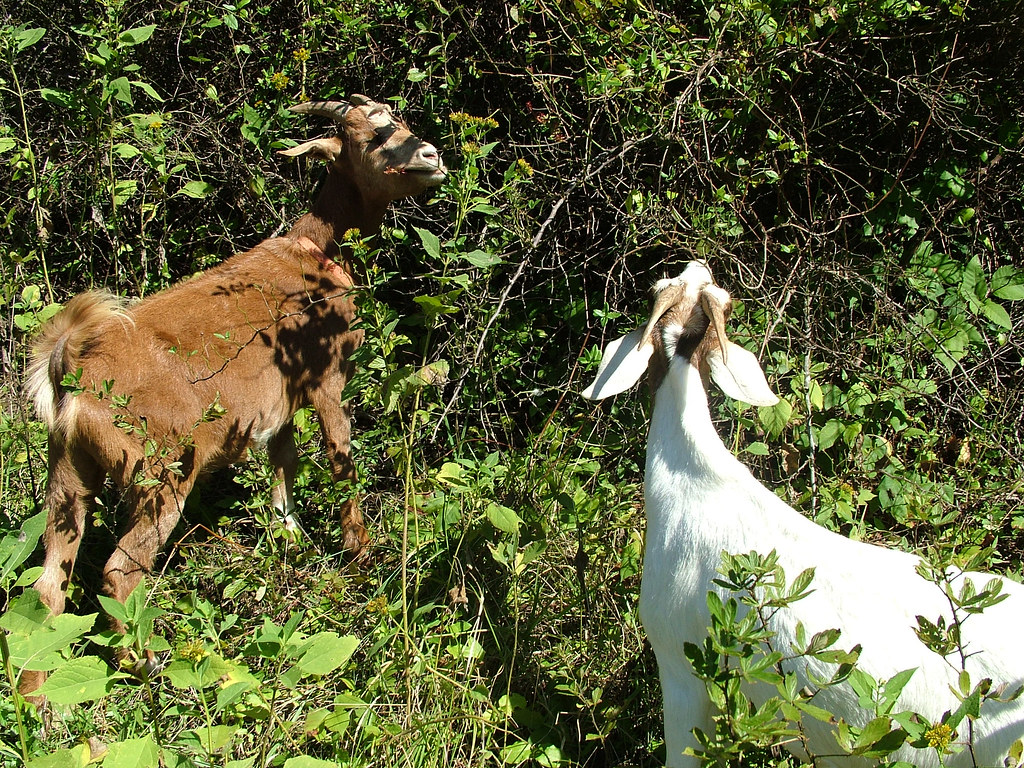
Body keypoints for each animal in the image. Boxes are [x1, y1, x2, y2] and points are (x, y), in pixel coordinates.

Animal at [21, 95, 446, 692]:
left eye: (399, 121)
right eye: (370, 137)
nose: (431, 156)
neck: (316, 254)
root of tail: (72, 371)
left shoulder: (279, 402)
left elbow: (283, 462)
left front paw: (289, 537)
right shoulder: (326, 378)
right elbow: (340, 462)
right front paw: (363, 557)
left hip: (67, 469)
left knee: (48, 586)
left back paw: (39, 703)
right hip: (163, 467)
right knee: (118, 570)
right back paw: (149, 664)